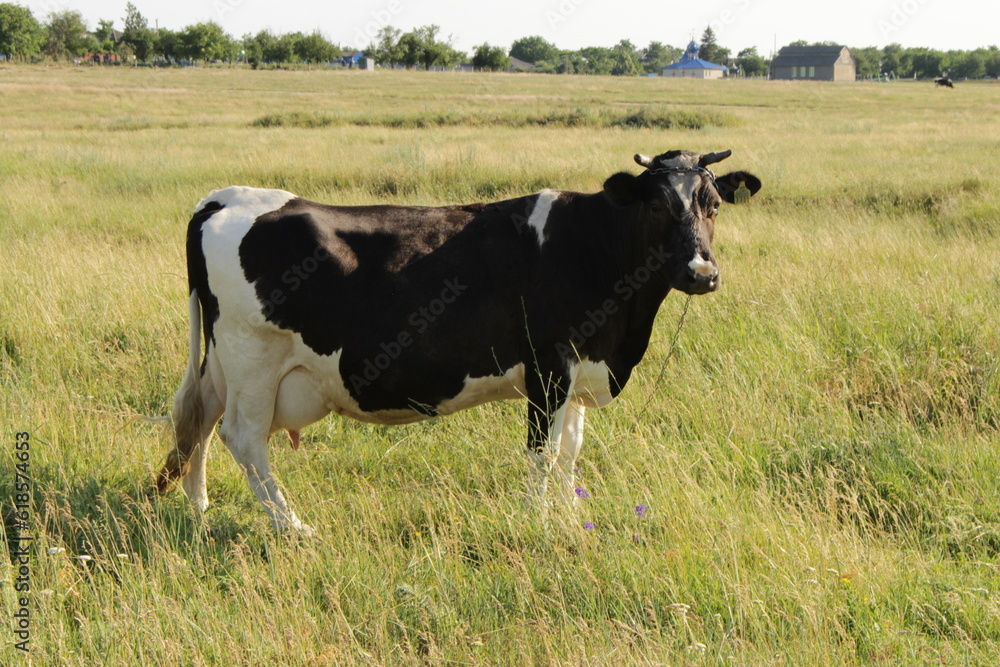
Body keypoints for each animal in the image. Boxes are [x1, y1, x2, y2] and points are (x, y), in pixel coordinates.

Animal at [158, 149, 756, 536]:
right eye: (656, 206)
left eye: (713, 205)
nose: (702, 273)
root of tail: (227, 198)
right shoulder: (548, 367)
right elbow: (542, 454)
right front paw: (540, 524)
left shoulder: (581, 370)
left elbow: (570, 451)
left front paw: (569, 517)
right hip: (253, 359)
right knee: (243, 438)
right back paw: (292, 526)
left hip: (222, 363)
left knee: (201, 420)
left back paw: (200, 507)